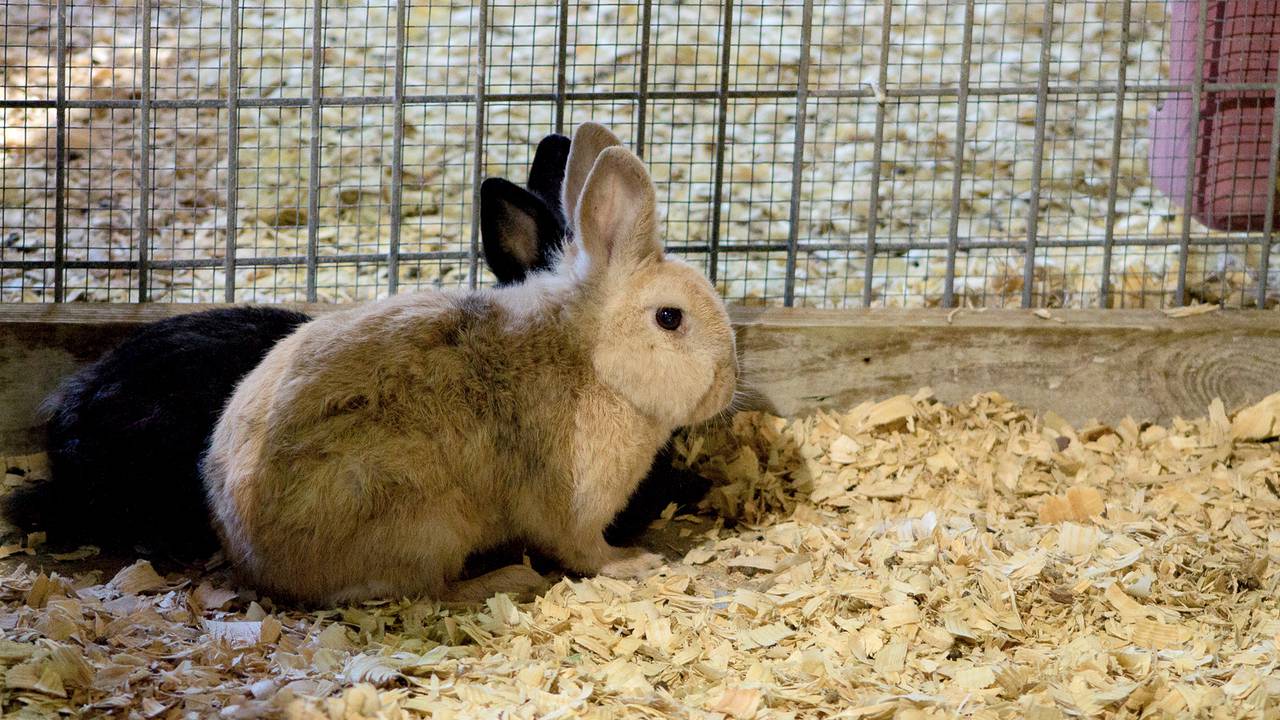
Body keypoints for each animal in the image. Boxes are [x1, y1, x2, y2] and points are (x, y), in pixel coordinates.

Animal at [200, 124, 739, 605]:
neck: (593, 362)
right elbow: (583, 550)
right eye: (669, 318)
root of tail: (255, 560)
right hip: (426, 522)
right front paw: (634, 563)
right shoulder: (574, 508)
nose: (728, 385)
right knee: (426, 591)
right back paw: (509, 580)